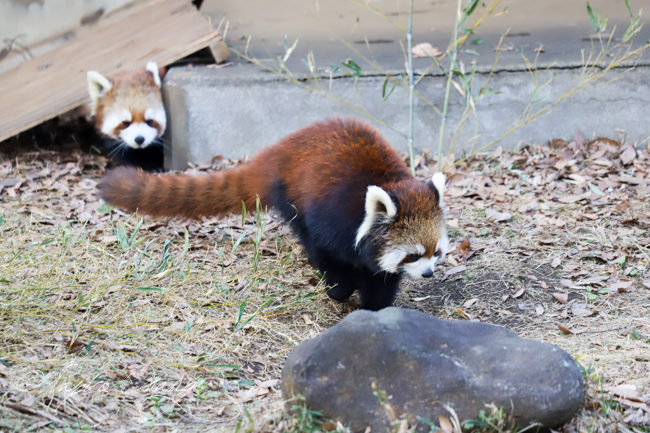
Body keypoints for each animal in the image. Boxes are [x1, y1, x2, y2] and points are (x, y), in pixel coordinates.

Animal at [98, 116, 446, 308]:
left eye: (436, 252)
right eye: (413, 255)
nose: (429, 274)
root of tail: (283, 147)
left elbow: (380, 280)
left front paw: (372, 311)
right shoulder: (331, 220)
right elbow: (326, 255)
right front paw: (339, 289)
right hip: (293, 192)